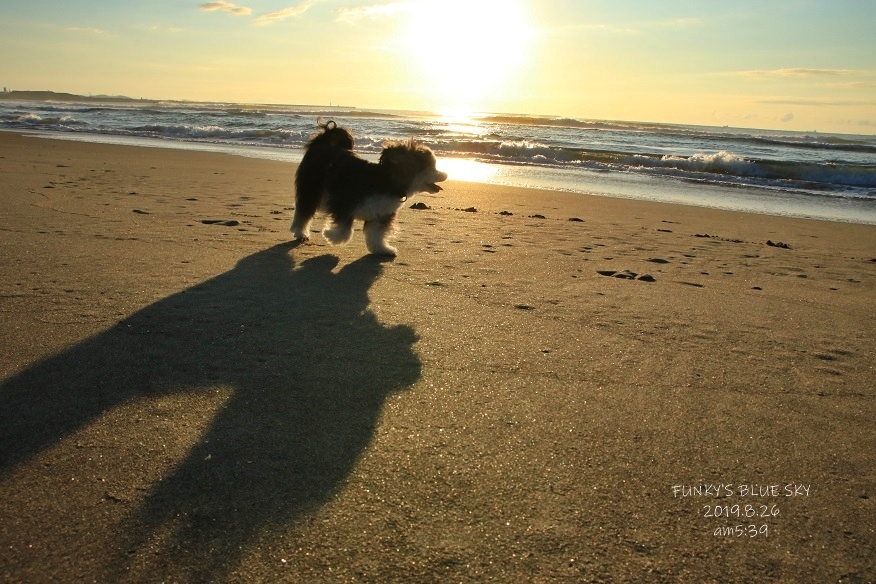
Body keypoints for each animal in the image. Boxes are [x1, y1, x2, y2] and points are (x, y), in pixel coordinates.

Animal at [290, 118, 448, 256]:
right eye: (431, 168)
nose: (445, 175)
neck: (386, 182)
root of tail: (322, 143)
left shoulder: (381, 215)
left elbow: (377, 234)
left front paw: (382, 249)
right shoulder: (343, 202)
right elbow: (345, 230)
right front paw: (331, 236)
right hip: (311, 188)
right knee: (303, 212)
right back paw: (300, 232)